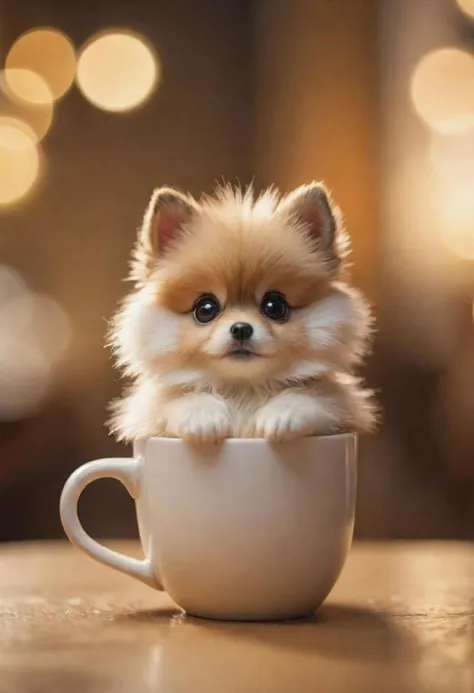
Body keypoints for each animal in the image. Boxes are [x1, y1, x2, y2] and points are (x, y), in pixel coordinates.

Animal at [109, 182, 376, 444]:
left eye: (274, 306)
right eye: (205, 309)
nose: (240, 328)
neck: (242, 390)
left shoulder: (342, 405)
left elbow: (317, 398)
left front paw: (284, 414)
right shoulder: (147, 413)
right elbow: (173, 401)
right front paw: (202, 416)